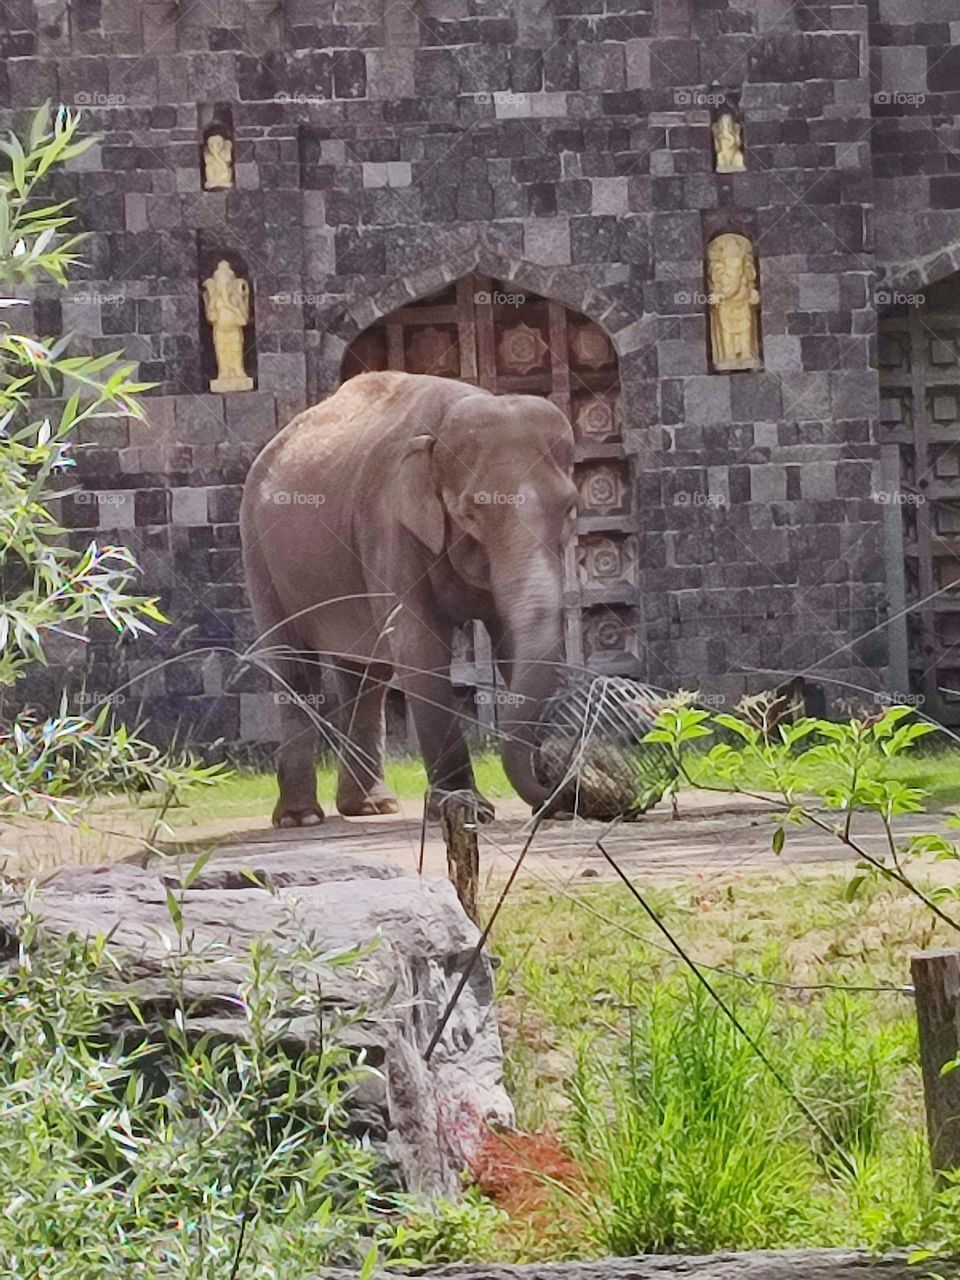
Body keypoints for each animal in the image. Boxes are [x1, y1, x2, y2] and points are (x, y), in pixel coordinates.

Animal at [240, 370, 578, 828]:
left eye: (570, 508)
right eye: (470, 513)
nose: (553, 784)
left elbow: (510, 643)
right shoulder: (389, 525)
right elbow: (420, 646)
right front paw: (464, 808)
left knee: (366, 676)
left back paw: (370, 807)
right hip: (259, 554)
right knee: (294, 666)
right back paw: (301, 818)